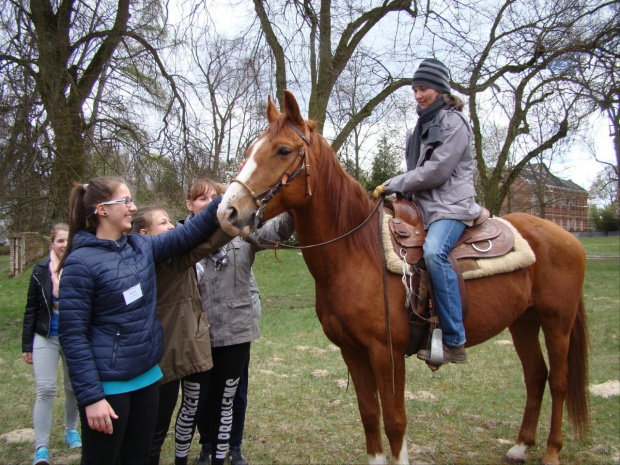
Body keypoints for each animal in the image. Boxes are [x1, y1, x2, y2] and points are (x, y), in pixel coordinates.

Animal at [218, 91, 592, 464]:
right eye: (251, 149)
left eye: (282, 150)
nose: (227, 211)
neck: (356, 253)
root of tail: (567, 237)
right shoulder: (352, 351)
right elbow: (370, 416)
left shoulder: (387, 353)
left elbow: (395, 422)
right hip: (524, 322)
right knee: (536, 375)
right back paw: (521, 445)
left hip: (556, 322)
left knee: (558, 381)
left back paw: (552, 451)